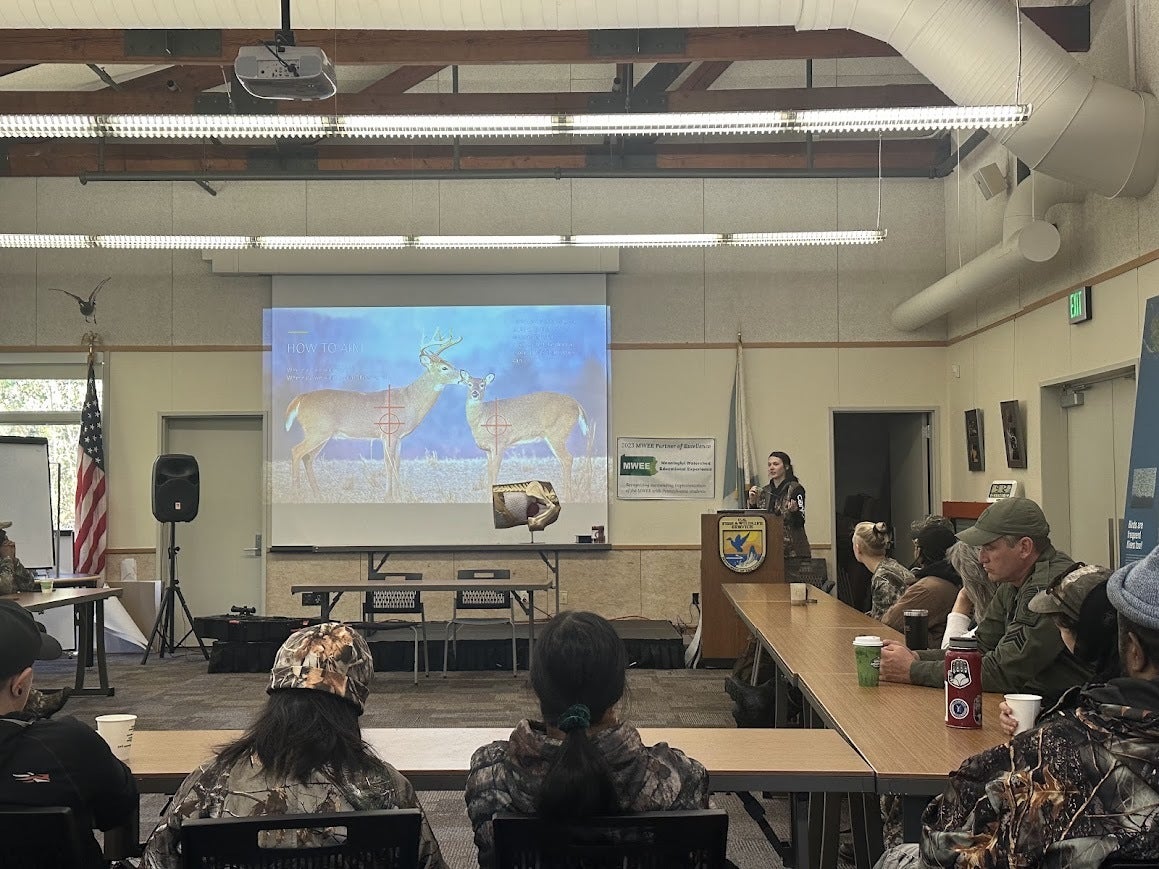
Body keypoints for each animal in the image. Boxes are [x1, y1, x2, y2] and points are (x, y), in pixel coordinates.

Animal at [285, 331, 461, 500]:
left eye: (450, 364)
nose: (461, 375)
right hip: (318, 430)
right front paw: (388, 496)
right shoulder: (388, 434)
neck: (409, 400)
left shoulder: (399, 437)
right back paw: (295, 493)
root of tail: (301, 398)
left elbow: (397, 464)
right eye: (444, 367)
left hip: (321, 433)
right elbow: (388, 464)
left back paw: (317, 494)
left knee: (307, 457)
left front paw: (399, 495)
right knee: (296, 451)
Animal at [458, 370, 593, 495]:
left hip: (557, 433)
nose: (475, 393)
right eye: (469, 384)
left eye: (482, 385)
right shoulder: (488, 450)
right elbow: (489, 472)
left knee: (568, 458)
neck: (481, 418)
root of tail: (577, 404)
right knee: (564, 460)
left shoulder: (500, 444)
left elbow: (495, 470)